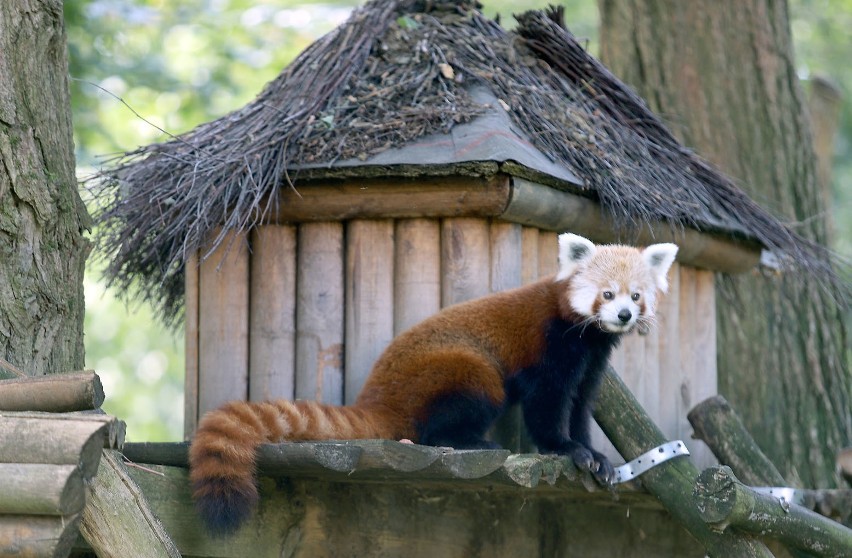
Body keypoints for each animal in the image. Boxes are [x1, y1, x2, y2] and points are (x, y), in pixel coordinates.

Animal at [188, 232, 680, 532]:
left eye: (636, 295)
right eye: (607, 293)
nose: (624, 315)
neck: (585, 336)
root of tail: (377, 396)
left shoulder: (591, 361)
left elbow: (580, 405)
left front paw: (594, 455)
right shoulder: (550, 348)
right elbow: (547, 406)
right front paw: (566, 450)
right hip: (457, 371)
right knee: (459, 406)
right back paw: (472, 441)